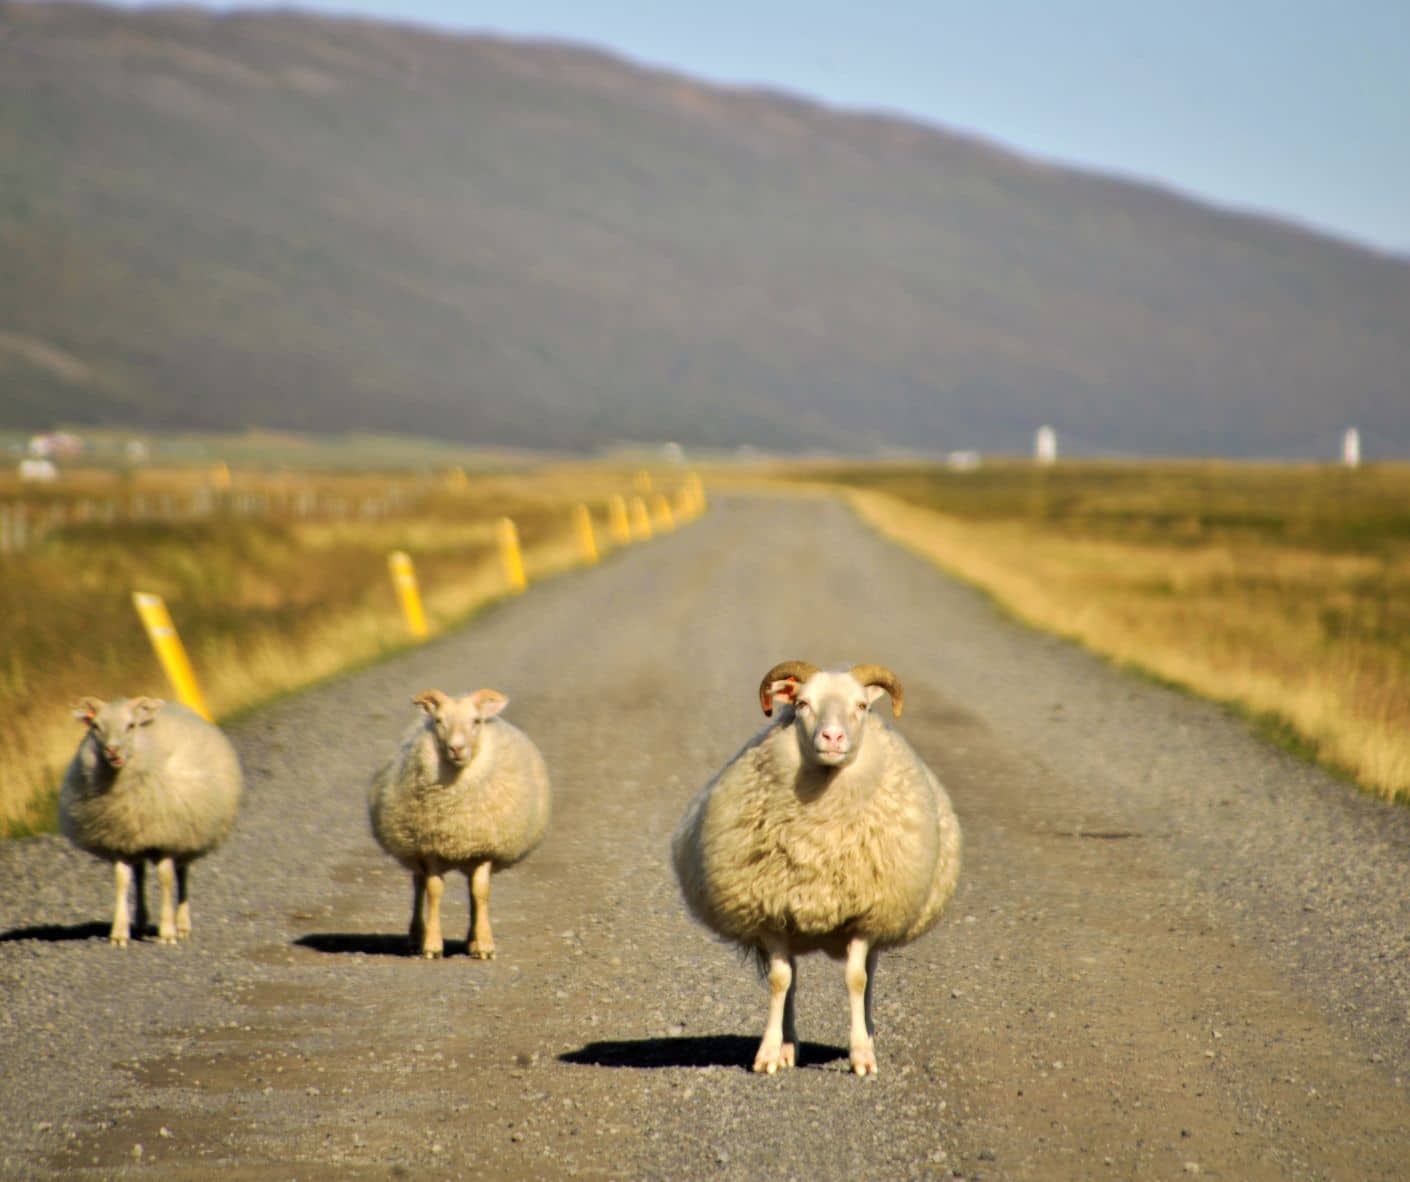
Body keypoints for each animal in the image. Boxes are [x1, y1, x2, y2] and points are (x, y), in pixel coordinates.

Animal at [60, 696, 243, 946]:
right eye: (95, 726)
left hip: (185, 835)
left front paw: (167, 932)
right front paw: (119, 933)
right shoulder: (120, 839)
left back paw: (182, 923)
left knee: (181, 873)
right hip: (138, 839)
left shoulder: (164, 837)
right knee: (140, 873)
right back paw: (141, 922)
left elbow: (165, 879)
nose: (112, 750)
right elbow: (122, 880)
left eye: (131, 725)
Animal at [368, 688, 550, 959]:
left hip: (469, 854)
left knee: (471, 889)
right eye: (438, 721)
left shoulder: (485, 846)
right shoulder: (430, 846)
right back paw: (416, 937)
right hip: (414, 846)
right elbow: (434, 890)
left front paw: (484, 944)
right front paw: (432, 945)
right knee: (418, 884)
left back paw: (471, 940)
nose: (457, 748)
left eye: (476, 721)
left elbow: (480, 892)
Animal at [672, 660, 962, 1076]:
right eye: (803, 703)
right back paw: (789, 1046)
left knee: (870, 974)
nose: (833, 736)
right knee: (791, 979)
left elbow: (857, 980)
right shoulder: (771, 912)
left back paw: (867, 1034)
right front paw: (769, 1052)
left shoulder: (865, 915)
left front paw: (861, 1055)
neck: (820, 832)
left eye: (862, 705)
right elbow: (780, 981)